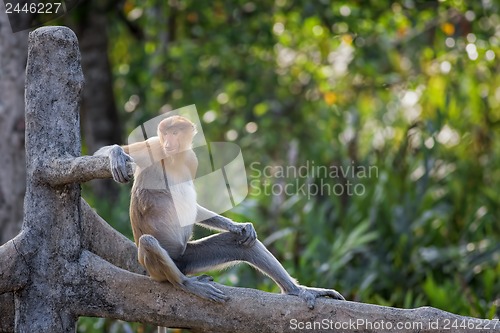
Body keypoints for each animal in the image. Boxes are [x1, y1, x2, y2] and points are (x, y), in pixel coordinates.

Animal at [94, 115, 344, 308]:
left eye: (175, 132)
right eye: (165, 134)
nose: (169, 142)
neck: (173, 157)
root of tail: (176, 262)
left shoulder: (190, 159)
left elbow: (195, 208)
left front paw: (239, 226)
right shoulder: (154, 147)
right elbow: (103, 152)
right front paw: (116, 154)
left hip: (188, 258)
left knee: (243, 245)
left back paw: (296, 290)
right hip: (155, 265)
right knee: (148, 242)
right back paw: (187, 284)